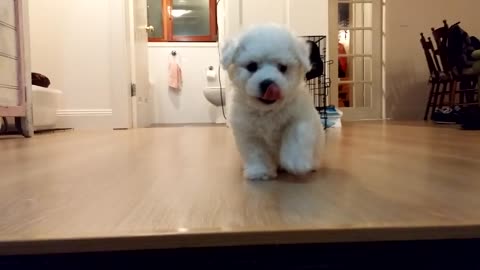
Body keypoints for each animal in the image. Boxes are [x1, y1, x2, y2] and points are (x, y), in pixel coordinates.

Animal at [223, 24, 324, 180]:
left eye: (283, 67)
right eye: (252, 66)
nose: (267, 83)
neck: (269, 111)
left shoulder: (300, 117)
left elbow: (294, 136)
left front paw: (295, 163)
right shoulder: (248, 132)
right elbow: (256, 152)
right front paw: (260, 171)